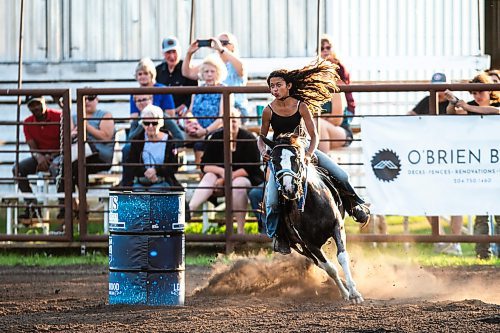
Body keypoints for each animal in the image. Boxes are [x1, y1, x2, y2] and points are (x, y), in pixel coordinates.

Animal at [262, 131, 364, 302]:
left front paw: (355, 293)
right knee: (321, 264)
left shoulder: (337, 226)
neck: (312, 203)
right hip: (299, 247)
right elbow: (329, 268)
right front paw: (346, 292)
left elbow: (342, 257)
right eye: (274, 161)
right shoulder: (308, 244)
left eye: (296, 158)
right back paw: (343, 289)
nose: (289, 189)